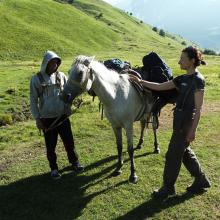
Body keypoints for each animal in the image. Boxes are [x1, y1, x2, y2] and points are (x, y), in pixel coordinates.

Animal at [62, 55, 154, 183]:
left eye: (80, 73)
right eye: (69, 71)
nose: (63, 96)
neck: (115, 95)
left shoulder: (128, 125)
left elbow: (130, 149)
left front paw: (133, 175)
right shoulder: (115, 126)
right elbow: (119, 147)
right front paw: (118, 168)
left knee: (154, 129)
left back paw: (156, 147)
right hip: (144, 114)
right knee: (143, 125)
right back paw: (140, 143)